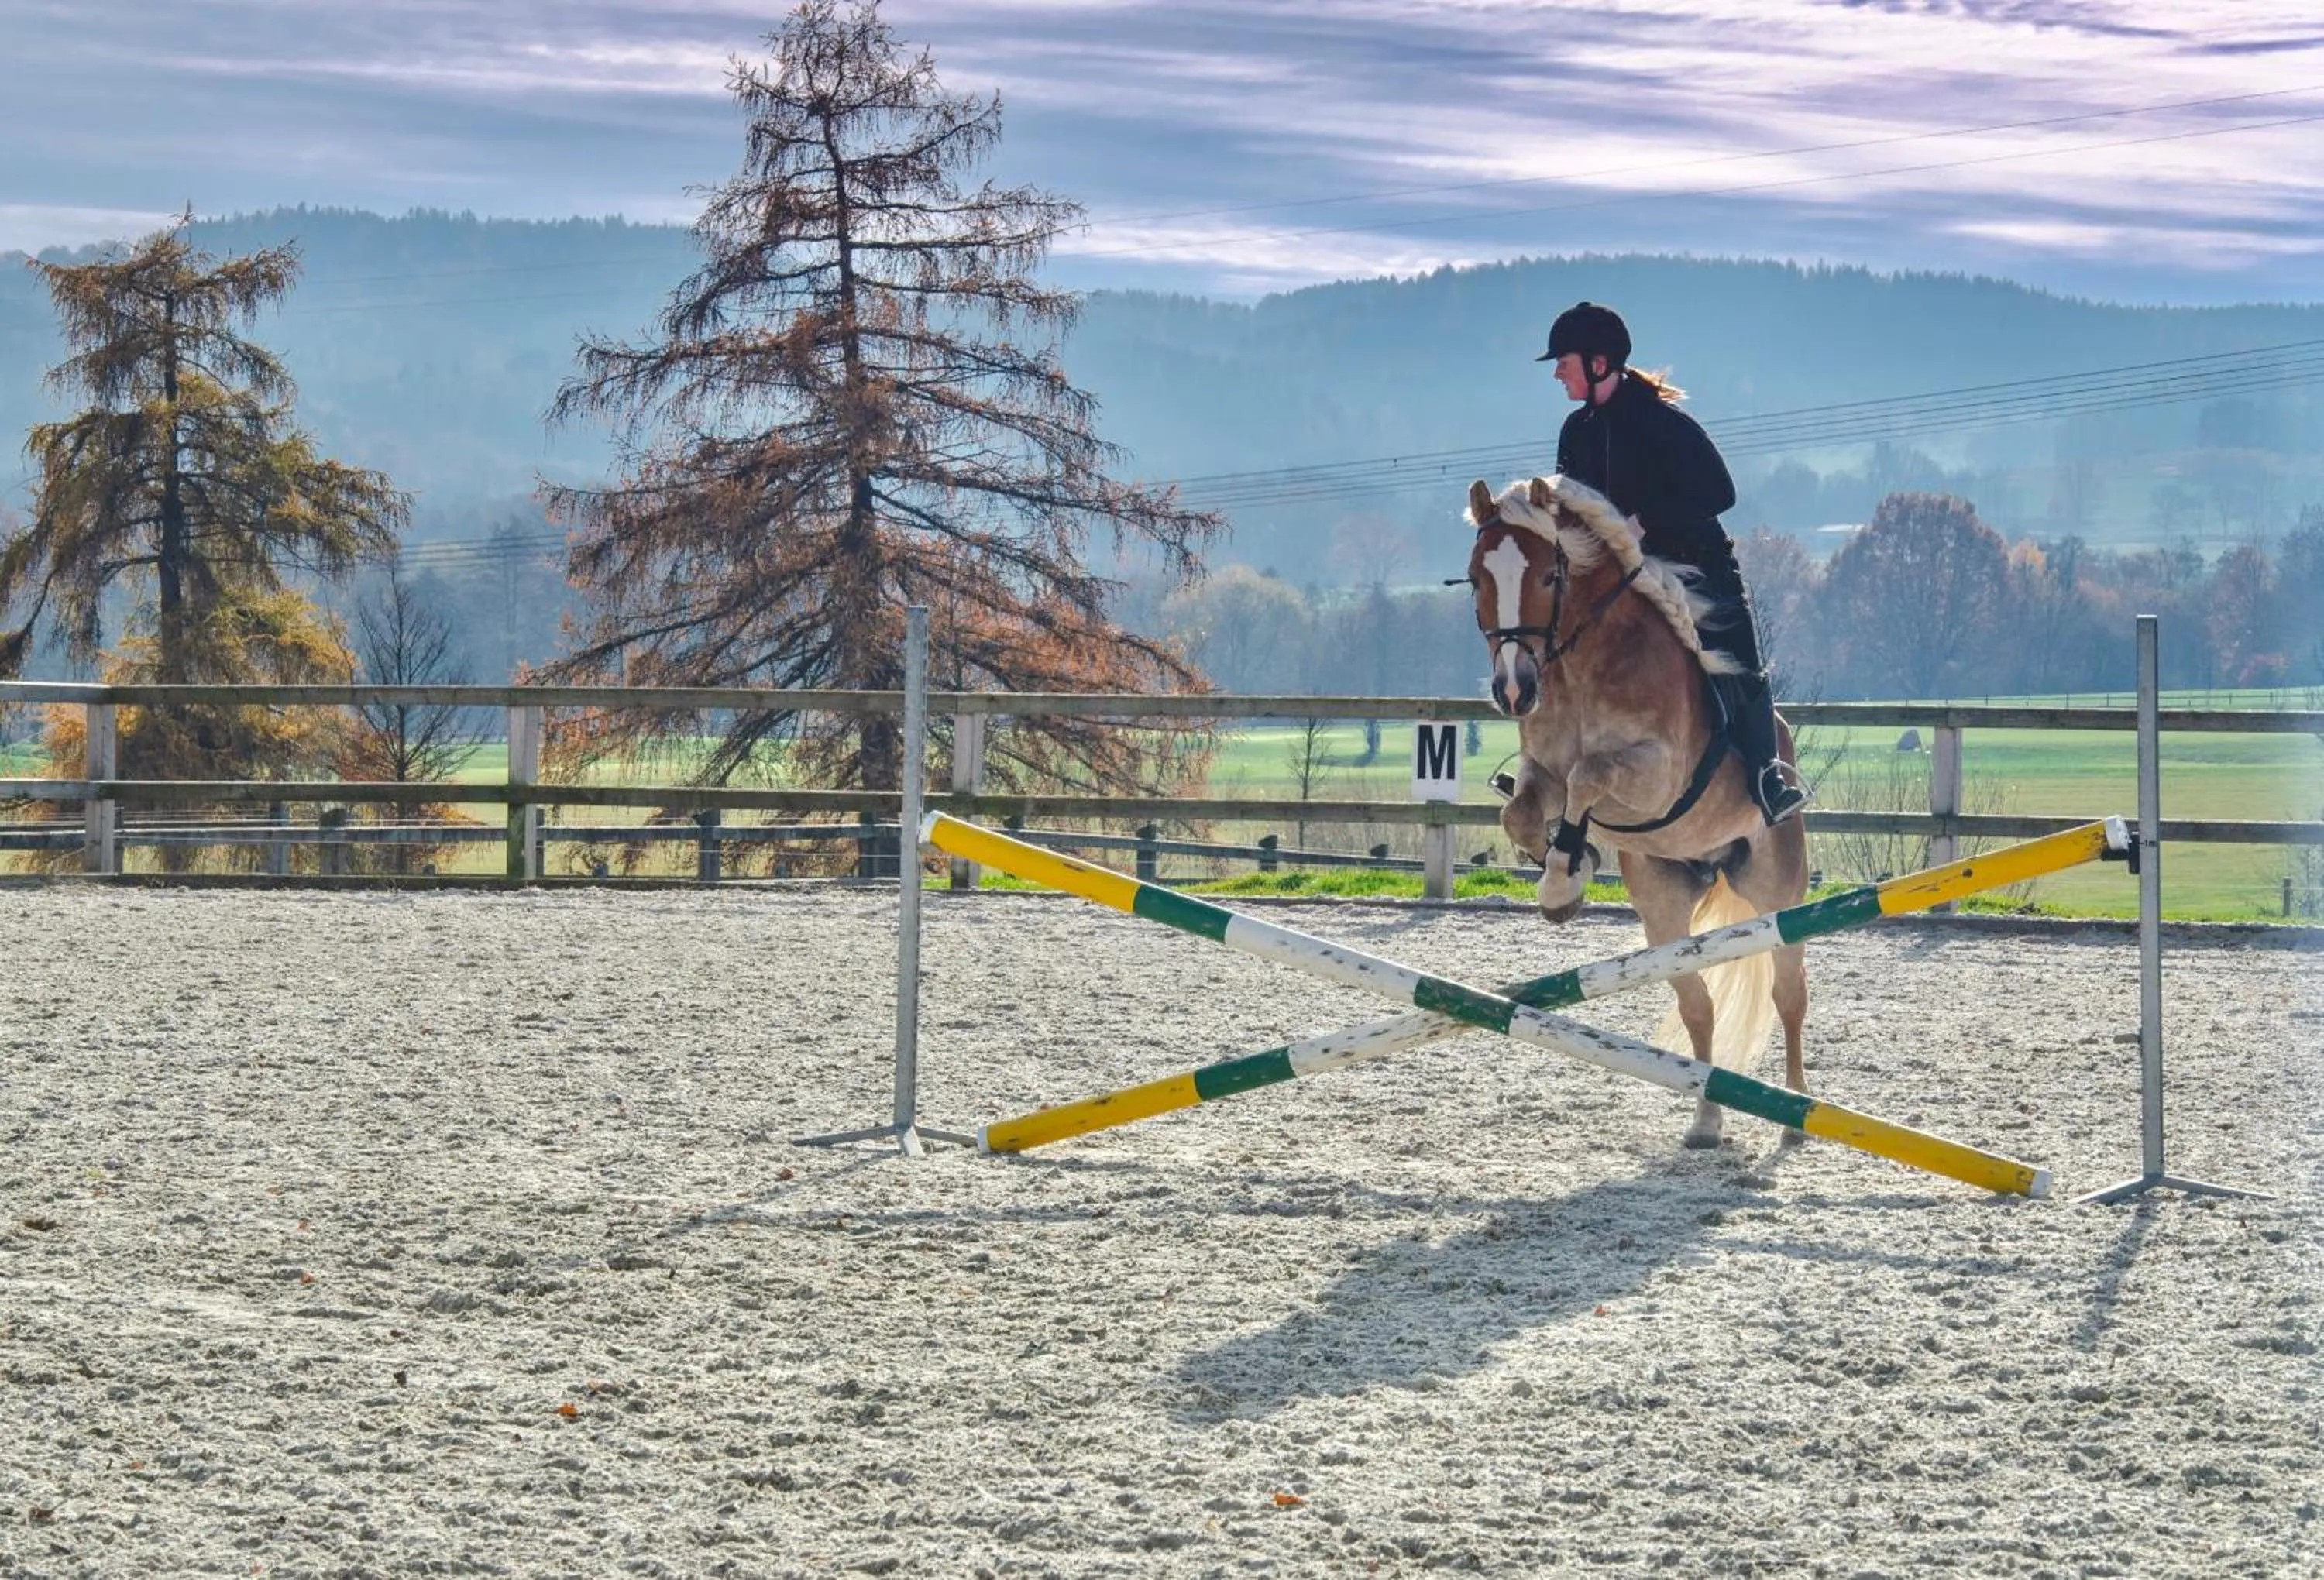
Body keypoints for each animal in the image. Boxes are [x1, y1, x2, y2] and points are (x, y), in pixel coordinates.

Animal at [1464, 475, 1810, 1149]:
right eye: (1475, 579)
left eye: (1550, 576)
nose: (1514, 690)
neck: (1577, 668)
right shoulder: (1540, 772)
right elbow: (1523, 814)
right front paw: (1563, 877)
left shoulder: (1656, 773)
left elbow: (1588, 776)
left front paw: (1564, 871)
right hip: (1663, 903)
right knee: (1697, 1004)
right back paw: (1706, 1120)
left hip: (1777, 893)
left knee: (1788, 995)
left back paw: (1795, 1115)